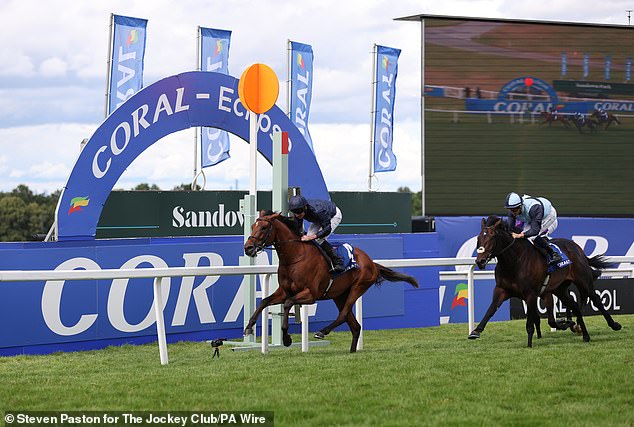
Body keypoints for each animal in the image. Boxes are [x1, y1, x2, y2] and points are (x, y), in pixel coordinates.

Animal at [241, 211, 414, 354]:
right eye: (252, 226)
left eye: (264, 228)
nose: (248, 248)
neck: (295, 257)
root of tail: (371, 262)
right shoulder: (284, 291)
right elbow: (264, 301)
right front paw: (249, 327)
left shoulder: (311, 294)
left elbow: (288, 303)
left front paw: (287, 338)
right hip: (339, 295)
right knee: (355, 326)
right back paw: (352, 351)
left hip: (358, 288)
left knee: (343, 315)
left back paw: (322, 332)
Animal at [470, 217, 616, 348]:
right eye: (478, 239)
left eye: (491, 238)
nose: (480, 261)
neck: (514, 262)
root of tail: (576, 247)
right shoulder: (501, 290)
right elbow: (490, 310)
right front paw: (476, 331)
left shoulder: (531, 294)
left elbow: (531, 323)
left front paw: (529, 345)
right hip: (560, 289)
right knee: (575, 306)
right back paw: (584, 334)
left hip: (583, 280)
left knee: (596, 299)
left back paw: (614, 325)